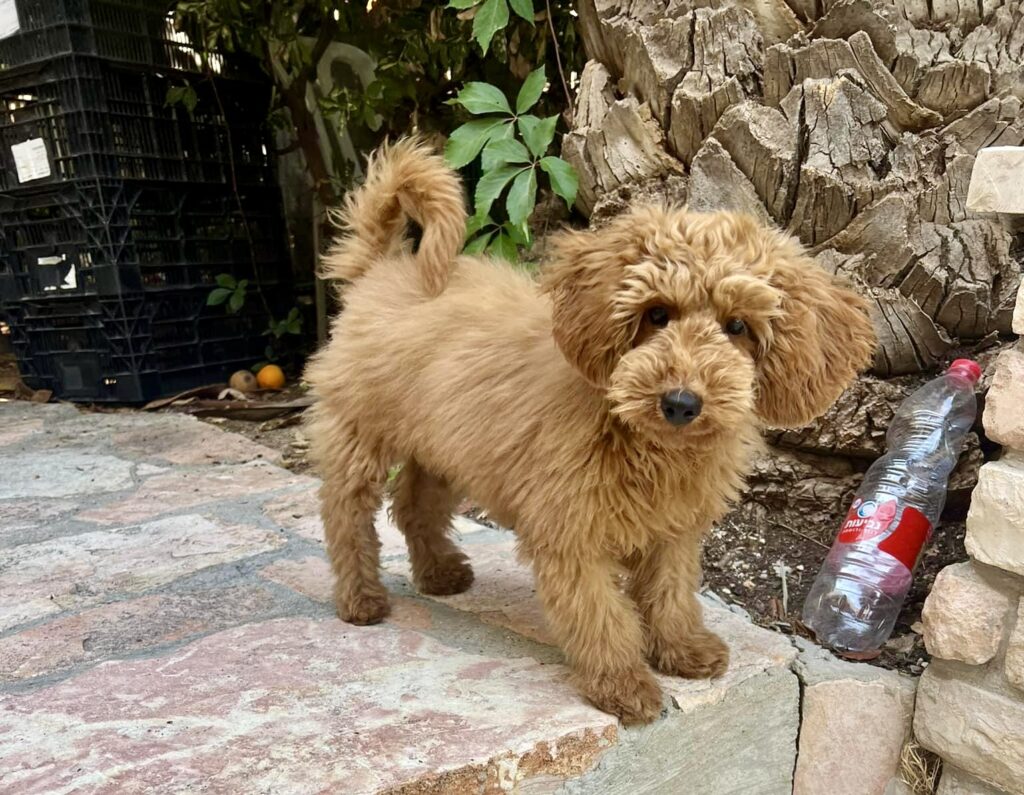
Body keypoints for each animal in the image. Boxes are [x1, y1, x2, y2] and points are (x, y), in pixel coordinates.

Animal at [301, 138, 872, 725]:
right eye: (657, 314)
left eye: (738, 326)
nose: (681, 402)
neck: (641, 438)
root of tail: (381, 269)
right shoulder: (570, 530)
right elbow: (599, 613)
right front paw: (623, 683)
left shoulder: (673, 529)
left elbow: (670, 592)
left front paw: (681, 647)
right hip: (360, 436)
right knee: (346, 516)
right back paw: (361, 598)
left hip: (442, 447)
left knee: (415, 505)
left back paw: (439, 573)